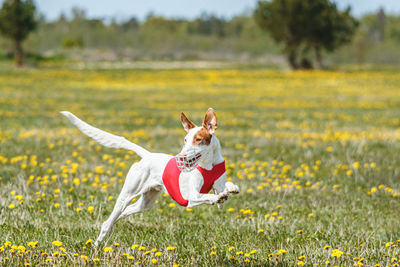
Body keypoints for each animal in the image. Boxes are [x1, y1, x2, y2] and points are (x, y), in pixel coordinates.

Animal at [61, 108, 239, 247]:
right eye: (185, 140)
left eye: (198, 140)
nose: (181, 157)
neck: (209, 165)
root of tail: (147, 155)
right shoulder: (191, 197)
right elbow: (209, 196)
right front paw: (219, 196)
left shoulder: (218, 192)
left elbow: (224, 191)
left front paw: (231, 188)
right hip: (127, 195)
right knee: (108, 220)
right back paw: (97, 245)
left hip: (146, 203)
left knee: (122, 214)